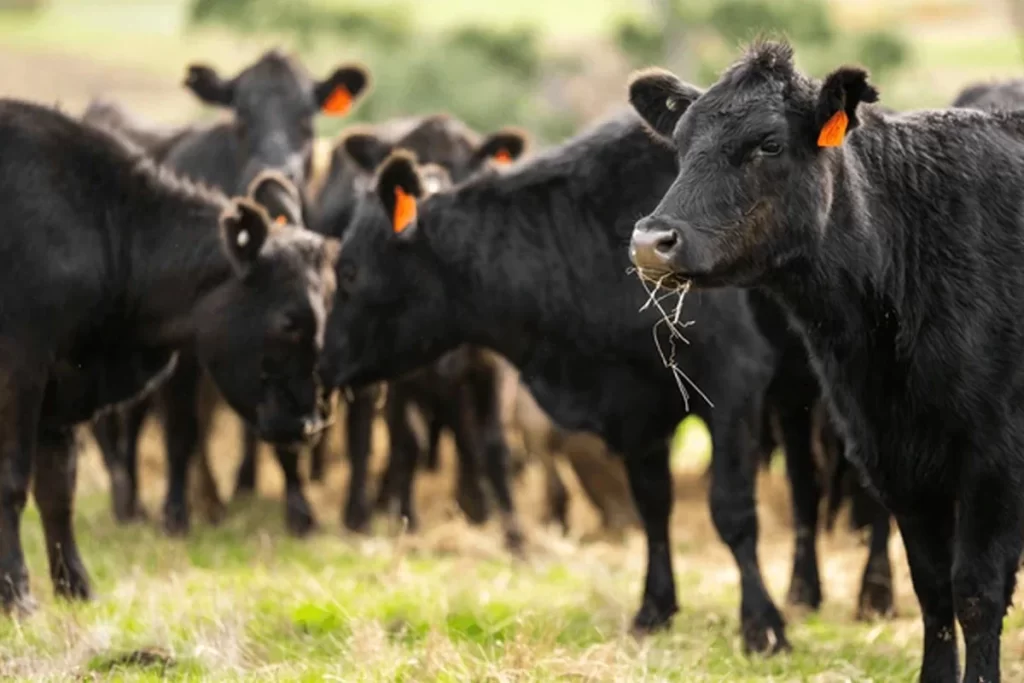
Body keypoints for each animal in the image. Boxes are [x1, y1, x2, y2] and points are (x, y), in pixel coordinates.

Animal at [0, 100, 339, 614]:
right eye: (287, 320)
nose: (308, 424)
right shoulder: (20, 372)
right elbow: (14, 481)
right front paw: (17, 595)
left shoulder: (62, 390)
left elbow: (58, 490)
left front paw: (76, 586)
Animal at [84, 49, 368, 540]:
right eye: (240, 115)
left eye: (307, 118)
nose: (275, 171)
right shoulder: (180, 354)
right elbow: (181, 430)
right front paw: (176, 512)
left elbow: (280, 431)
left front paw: (299, 512)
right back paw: (131, 501)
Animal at [323, 109, 794, 655]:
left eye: (349, 272)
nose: (322, 360)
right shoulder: (638, 409)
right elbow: (654, 506)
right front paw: (654, 608)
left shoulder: (733, 385)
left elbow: (733, 511)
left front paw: (762, 624)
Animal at [626, 38, 1024, 683]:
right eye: (681, 145)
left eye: (768, 143)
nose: (650, 242)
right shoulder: (893, 455)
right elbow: (933, 589)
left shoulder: (995, 457)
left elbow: (976, 592)